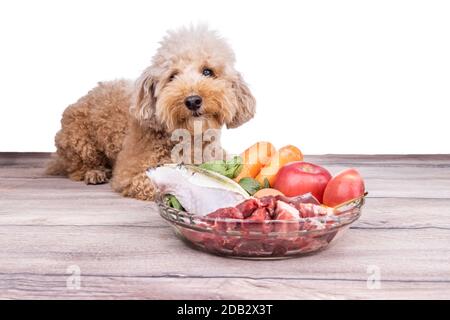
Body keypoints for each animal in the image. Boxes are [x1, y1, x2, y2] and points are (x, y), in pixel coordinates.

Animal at [48, 25, 256, 200]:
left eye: (207, 72)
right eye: (172, 76)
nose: (193, 101)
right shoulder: (130, 174)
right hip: (78, 141)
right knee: (77, 167)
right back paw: (95, 172)